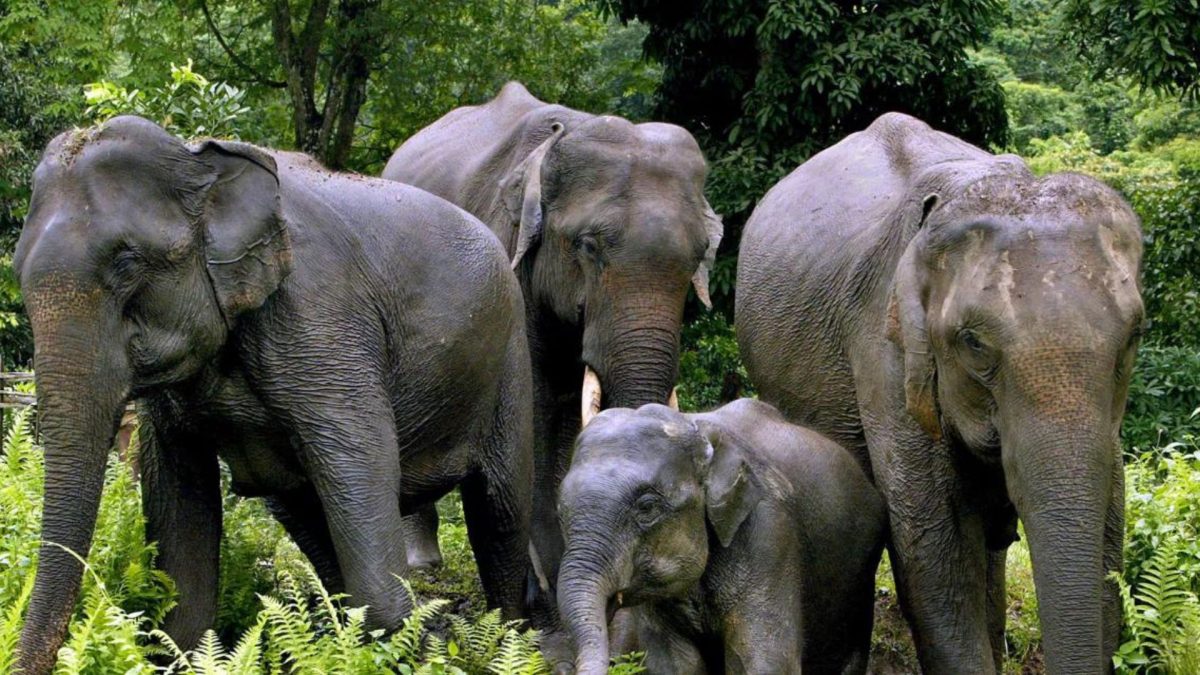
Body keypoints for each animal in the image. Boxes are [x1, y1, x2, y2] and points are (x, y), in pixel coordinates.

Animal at [13, 115, 533, 674]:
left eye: (126, 263)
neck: (198, 159)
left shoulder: (322, 320)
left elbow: (361, 461)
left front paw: (405, 642)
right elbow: (176, 490)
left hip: (511, 357)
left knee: (500, 510)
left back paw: (512, 640)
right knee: (304, 513)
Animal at [381, 82, 722, 602]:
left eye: (700, 255)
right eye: (588, 246)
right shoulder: (506, 263)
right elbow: (536, 408)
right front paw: (545, 588)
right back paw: (422, 565)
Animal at [556, 400, 887, 675]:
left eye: (647, 507)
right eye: (560, 512)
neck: (695, 425)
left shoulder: (769, 533)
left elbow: (763, 661)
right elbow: (675, 664)